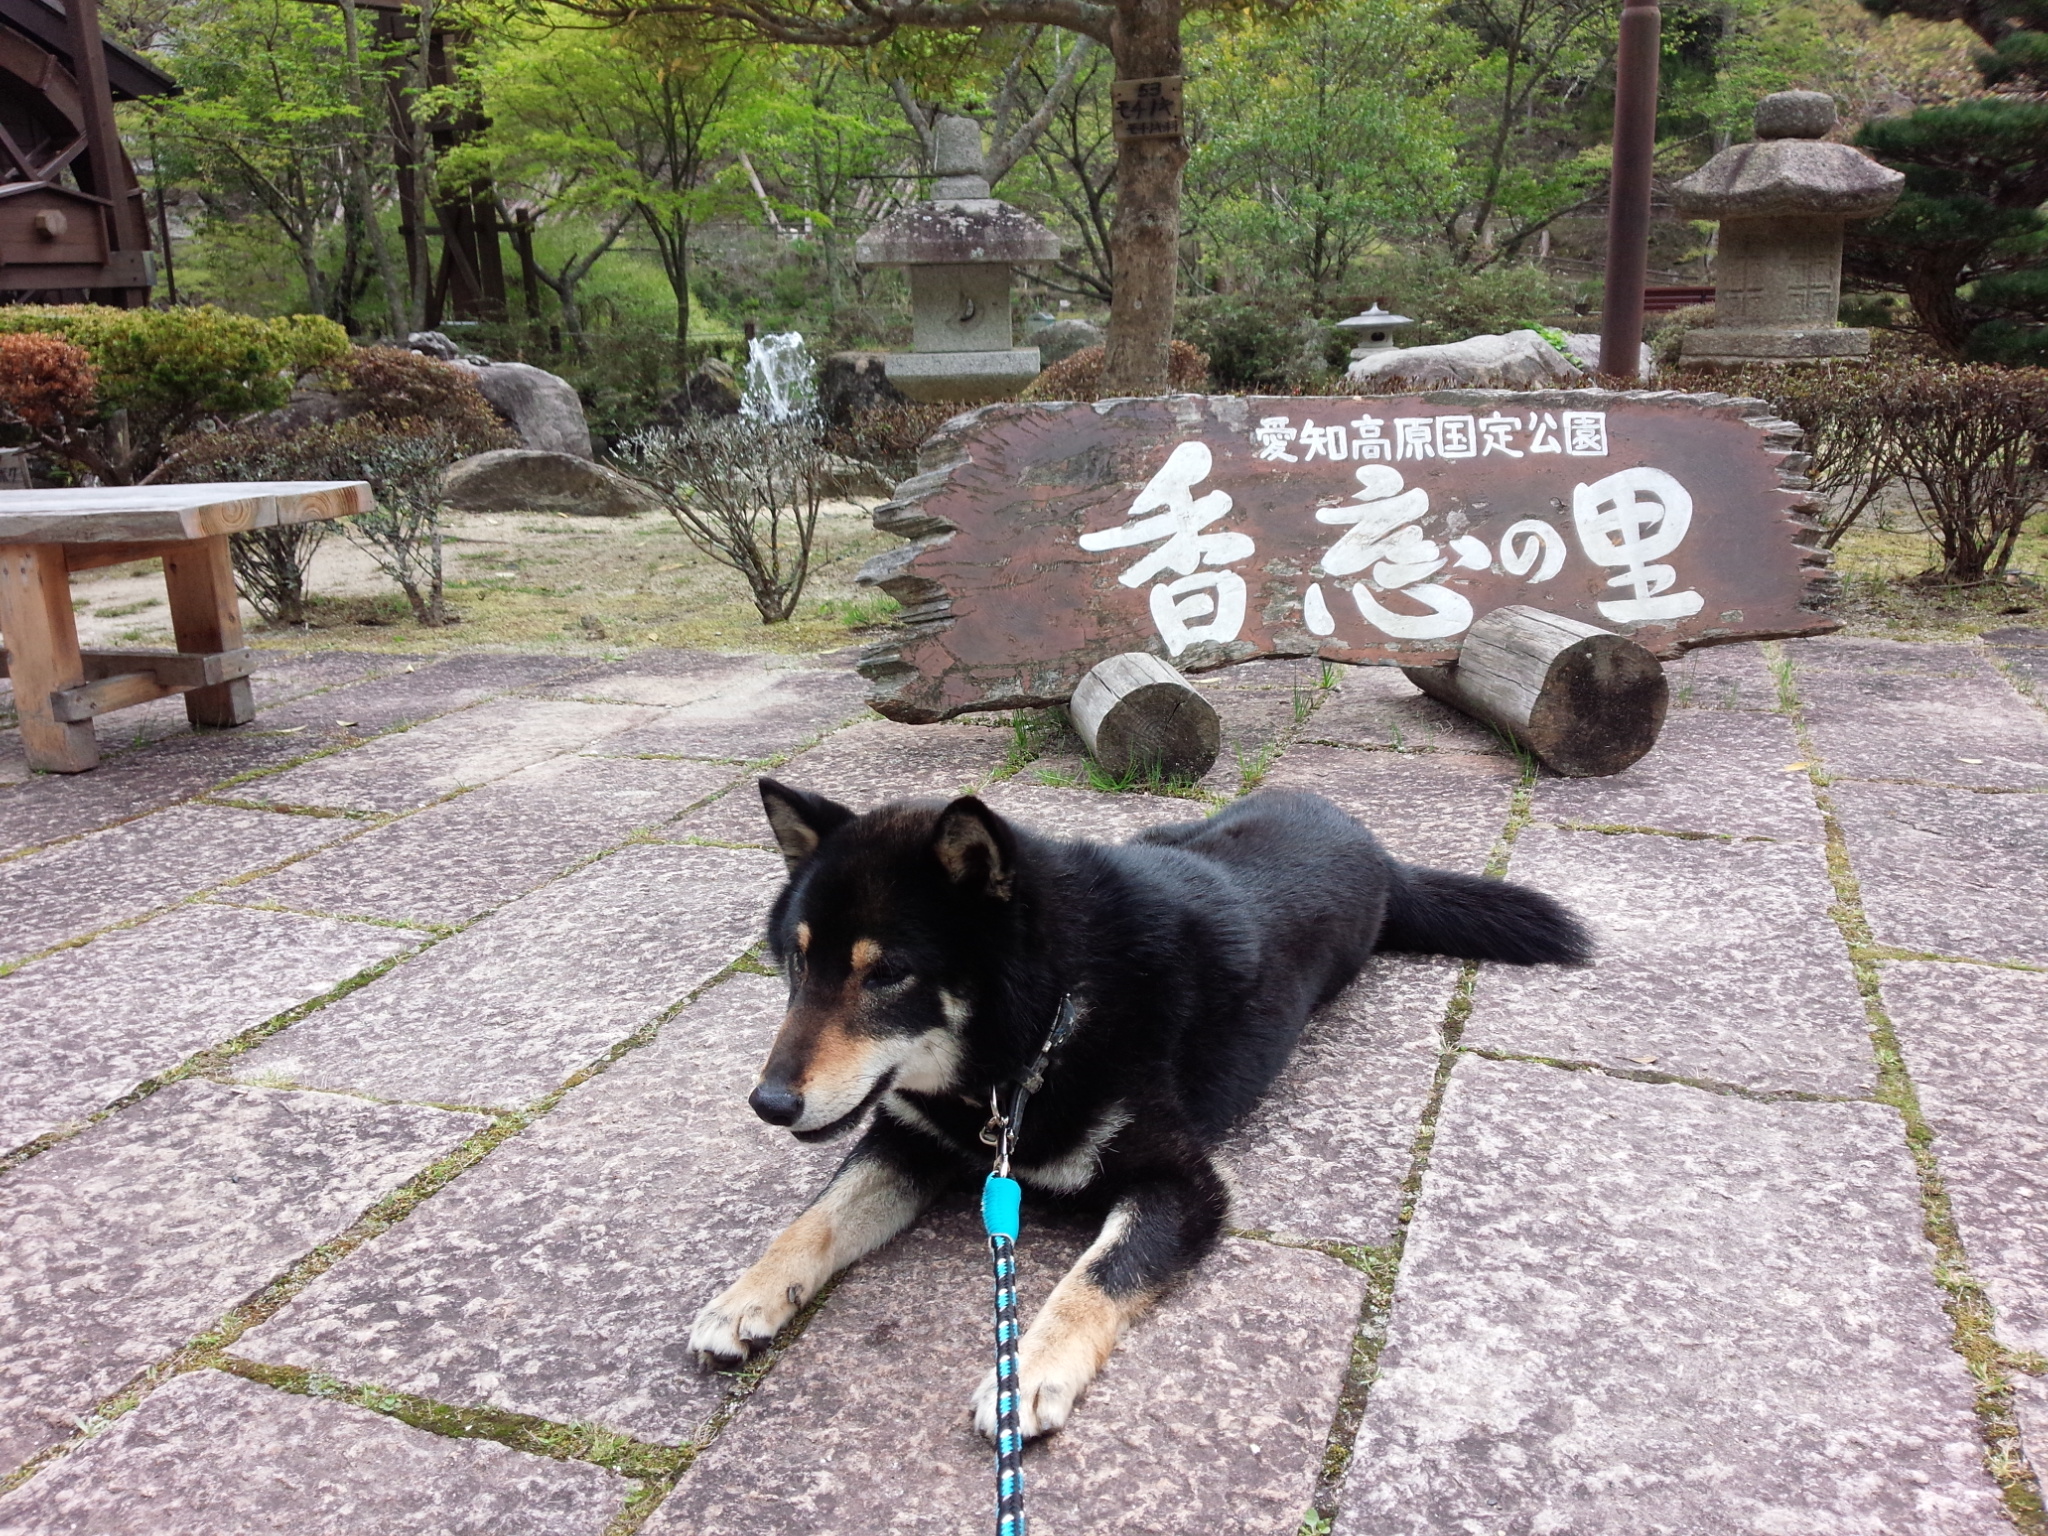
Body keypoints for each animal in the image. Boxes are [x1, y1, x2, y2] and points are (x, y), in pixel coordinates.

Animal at [696, 782, 1589, 1441]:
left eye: (887, 975)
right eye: (797, 964)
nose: (769, 1103)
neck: (1048, 1022)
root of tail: (1369, 842)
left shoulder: (1183, 1184)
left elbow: (1094, 1278)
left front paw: (1028, 1375)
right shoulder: (911, 1138)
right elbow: (816, 1219)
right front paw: (746, 1296)